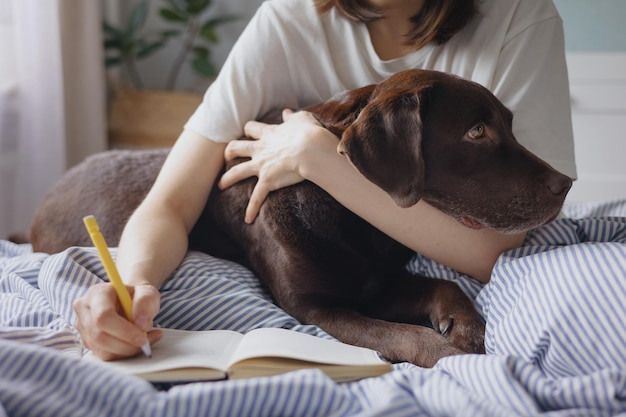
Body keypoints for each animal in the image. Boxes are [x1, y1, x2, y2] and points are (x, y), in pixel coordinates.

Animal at [29, 70, 568, 366]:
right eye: (476, 131)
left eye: (509, 125)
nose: (565, 184)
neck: (351, 217)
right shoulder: (315, 308)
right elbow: (404, 337)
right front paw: (454, 355)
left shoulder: (379, 281)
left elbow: (444, 284)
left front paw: (467, 326)